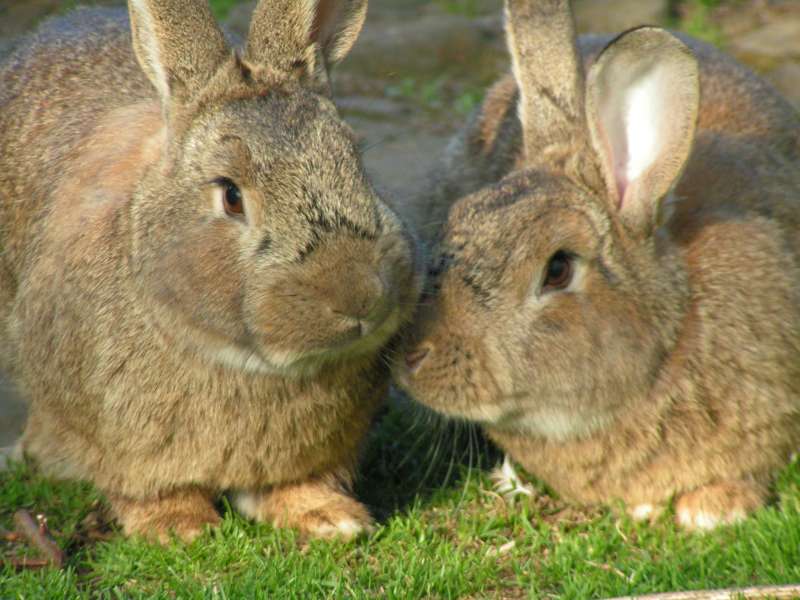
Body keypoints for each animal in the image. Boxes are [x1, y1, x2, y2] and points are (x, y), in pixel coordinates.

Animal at [0, 0, 424, 540]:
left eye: (357, 164)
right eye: (231, 195)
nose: (358, 298)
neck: (244, 360)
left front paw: (328, 517)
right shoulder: (117, 441)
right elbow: (147, 488)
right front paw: (180, 528)